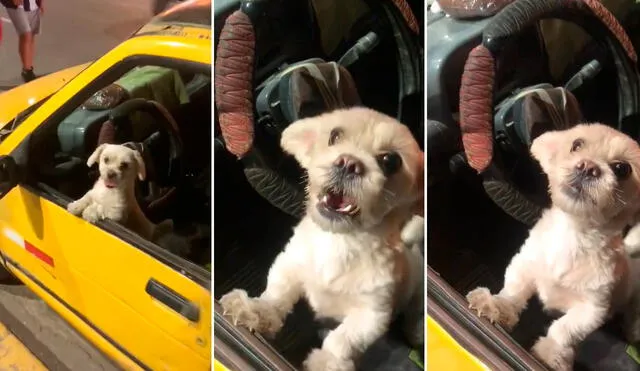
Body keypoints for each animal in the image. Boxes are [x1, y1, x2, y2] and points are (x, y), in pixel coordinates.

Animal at [219, 107, 424, 371]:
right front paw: (259, 310)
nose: (349, 163)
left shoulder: (372, 313)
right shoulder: (290, 264)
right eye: (334, 136)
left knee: (415, 311)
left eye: (391, 161)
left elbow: (345, 338)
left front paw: (328, 361)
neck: (340, 242)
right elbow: (277, 292)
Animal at [468, 123, 640, 370]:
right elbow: (514, 290)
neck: (573, 235)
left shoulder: (592, 308)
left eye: (622, 169)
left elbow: (565, 328)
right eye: (576, 144)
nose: (588, 166)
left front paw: (552, 353)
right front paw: (498, 305)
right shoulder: (524, 264)